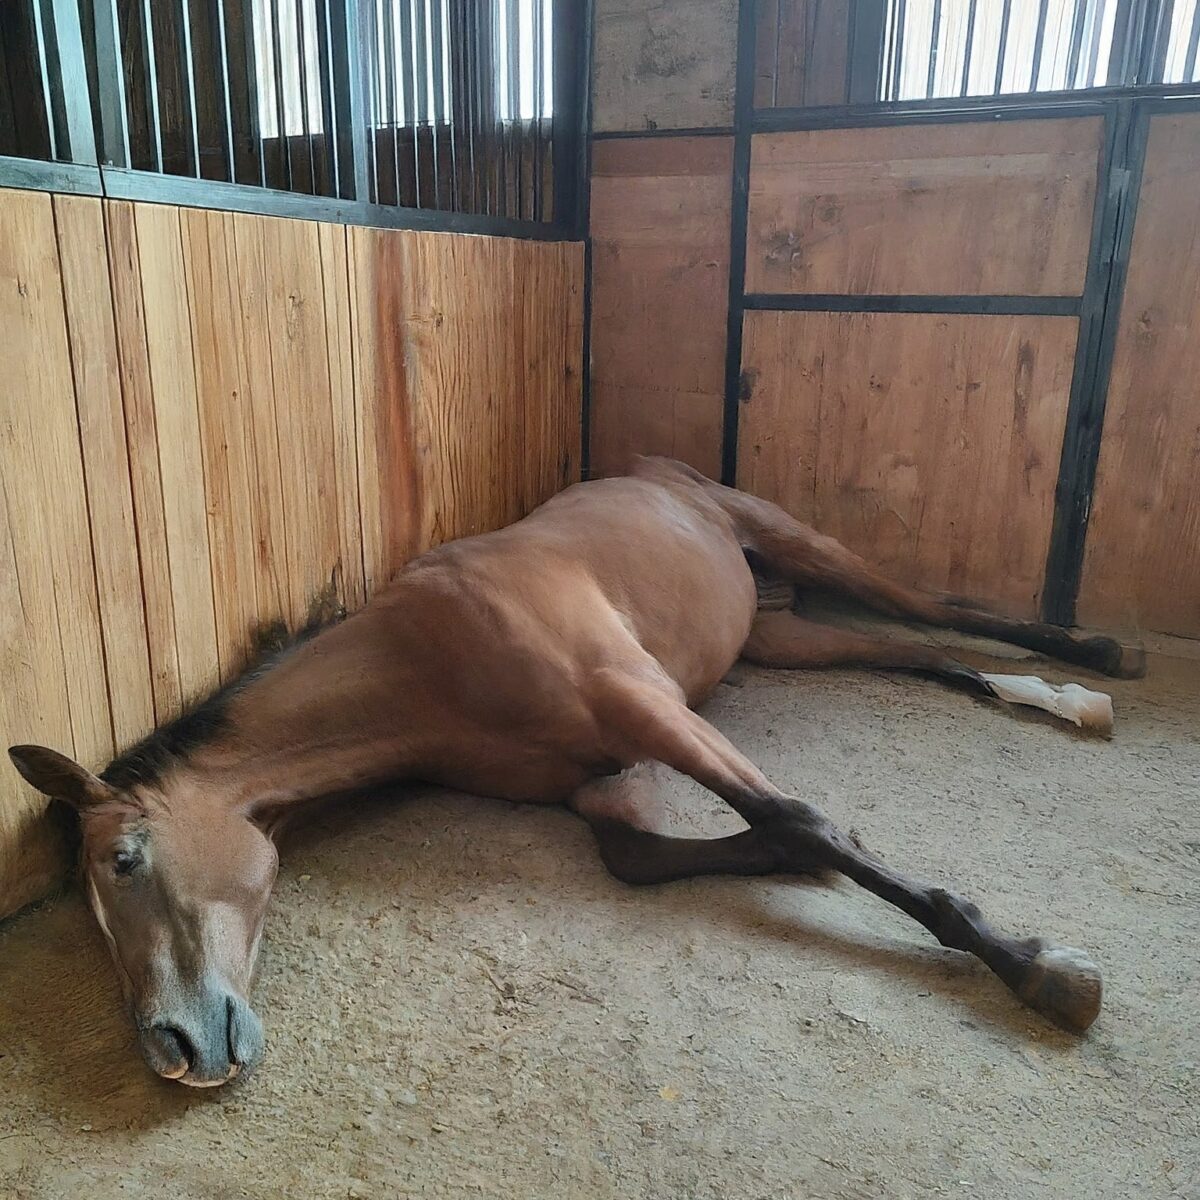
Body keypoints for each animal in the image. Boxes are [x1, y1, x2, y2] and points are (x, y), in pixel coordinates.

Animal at [9, 457, 1143, 1087]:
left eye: (125, 860)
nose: (175, 1048)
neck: (430, 660)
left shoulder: (643, 704)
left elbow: (804, 815)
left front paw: (1038, 968)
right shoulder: (598, 778)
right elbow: (649, 856)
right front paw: (795, 866)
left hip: (801, 544)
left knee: (935, 606)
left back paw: (1091, 657)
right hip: (775, 636)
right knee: (917, 650)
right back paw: (1054, 695)